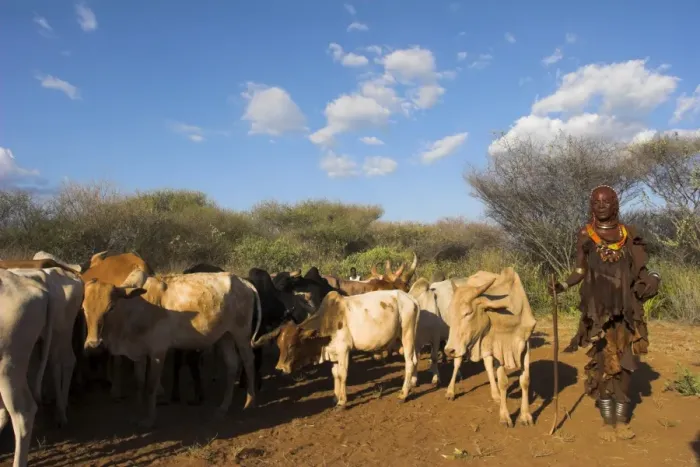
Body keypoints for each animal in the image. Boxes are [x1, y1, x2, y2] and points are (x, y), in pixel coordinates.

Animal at [81, 271, 261, 427]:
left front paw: (149, 420)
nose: (94, 344)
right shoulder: (139, 353)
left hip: (241, 333)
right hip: (225, 336)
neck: (134, 309)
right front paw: (138, 414)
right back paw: (223, 409)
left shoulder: (158, 352)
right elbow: (139, 382)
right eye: (84, 309)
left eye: (111, 308)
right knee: (232, 365)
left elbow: (151, 386)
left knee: (248, 361)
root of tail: (243, 281)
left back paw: (250, 403)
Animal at [252, 289, 421, 410]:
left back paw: (403, 394)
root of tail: (411, 299)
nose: (280, 368)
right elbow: (335, 375)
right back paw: (413, 383)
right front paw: (335, 397)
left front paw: (342, 402)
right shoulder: (333, 353)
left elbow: (343, 374)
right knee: (415, 359)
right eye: (279, 345)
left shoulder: (343, 350)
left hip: (407, 334)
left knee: (409, 362)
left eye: (292, 345)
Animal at [443, 267, 537, 427]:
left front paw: (526, 416)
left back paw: (496, 394)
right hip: (461, 344)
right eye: (450, 313)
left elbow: (525, 380)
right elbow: (503, 382)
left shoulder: (525, 344)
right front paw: (505, 416)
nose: (448, 350)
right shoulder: (498, 348)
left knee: (487, 364)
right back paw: (450, 391)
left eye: (468, 312)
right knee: (457, 362)